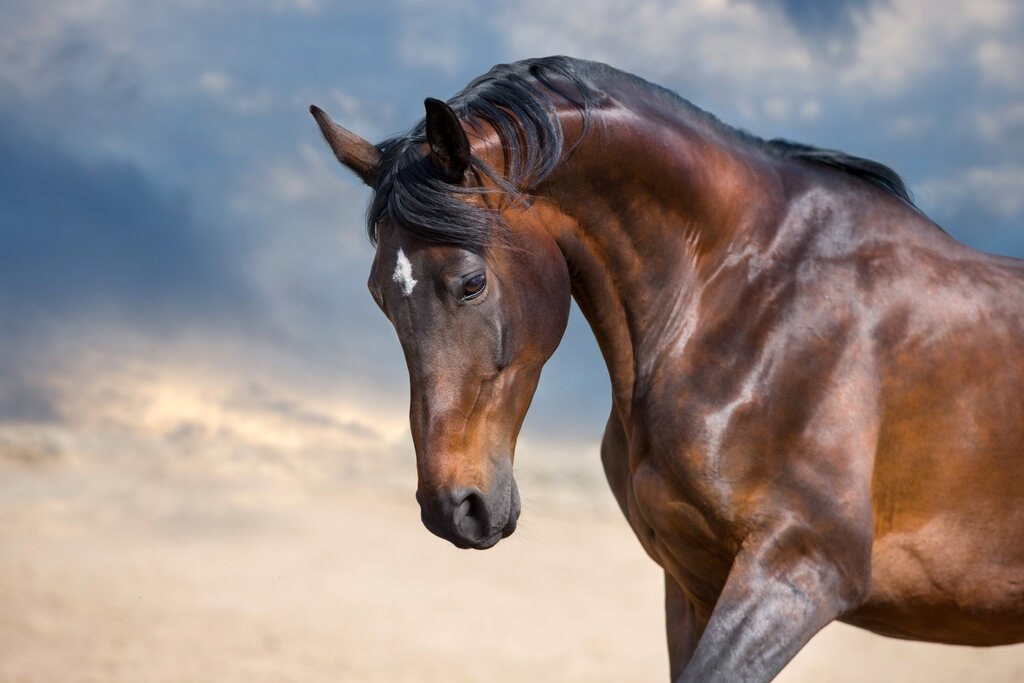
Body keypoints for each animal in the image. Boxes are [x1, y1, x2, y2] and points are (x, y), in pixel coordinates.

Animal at [310, 56, 1024, 681]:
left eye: (471, 283)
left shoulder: (802, 571)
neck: (750, 298)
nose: (453, 508)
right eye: (379, 296)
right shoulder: (694, 583)